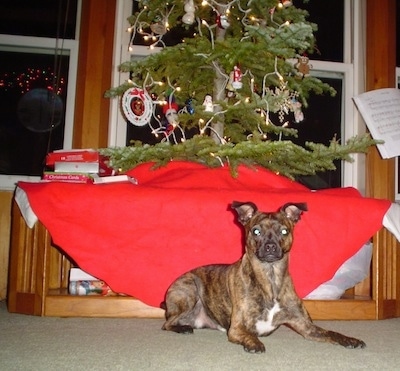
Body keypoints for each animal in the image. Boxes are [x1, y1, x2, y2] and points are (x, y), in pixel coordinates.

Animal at [161, 202, 368, 354]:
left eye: (284, 231)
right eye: (256, 231)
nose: (270, 246)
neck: (270, 278)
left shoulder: (307, 327)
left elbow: (332, 332)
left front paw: (350, 339)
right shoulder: (237, 328)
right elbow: (249, 335)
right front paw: (254, 343)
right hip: (189, 291)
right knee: (166, 324)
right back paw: (182, 328)